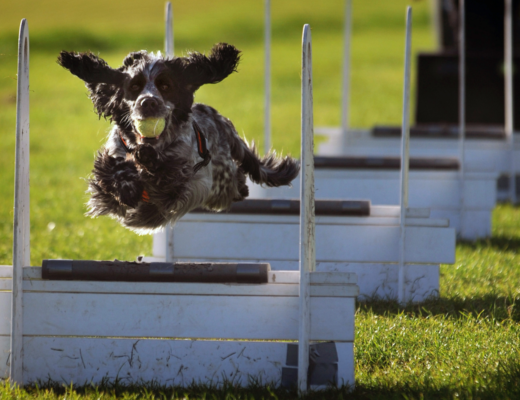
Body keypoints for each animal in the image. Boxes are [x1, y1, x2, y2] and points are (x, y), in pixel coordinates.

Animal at [58, 42, 298, 233]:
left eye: (166, 86)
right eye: (134, 86)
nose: (148, 102)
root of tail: (223, 123)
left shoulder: (183, 181)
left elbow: (168, 175)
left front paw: (148, 162)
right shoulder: (109, 169)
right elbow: (111, 171)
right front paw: (127, 184)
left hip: (221, 183)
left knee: (237, 182)